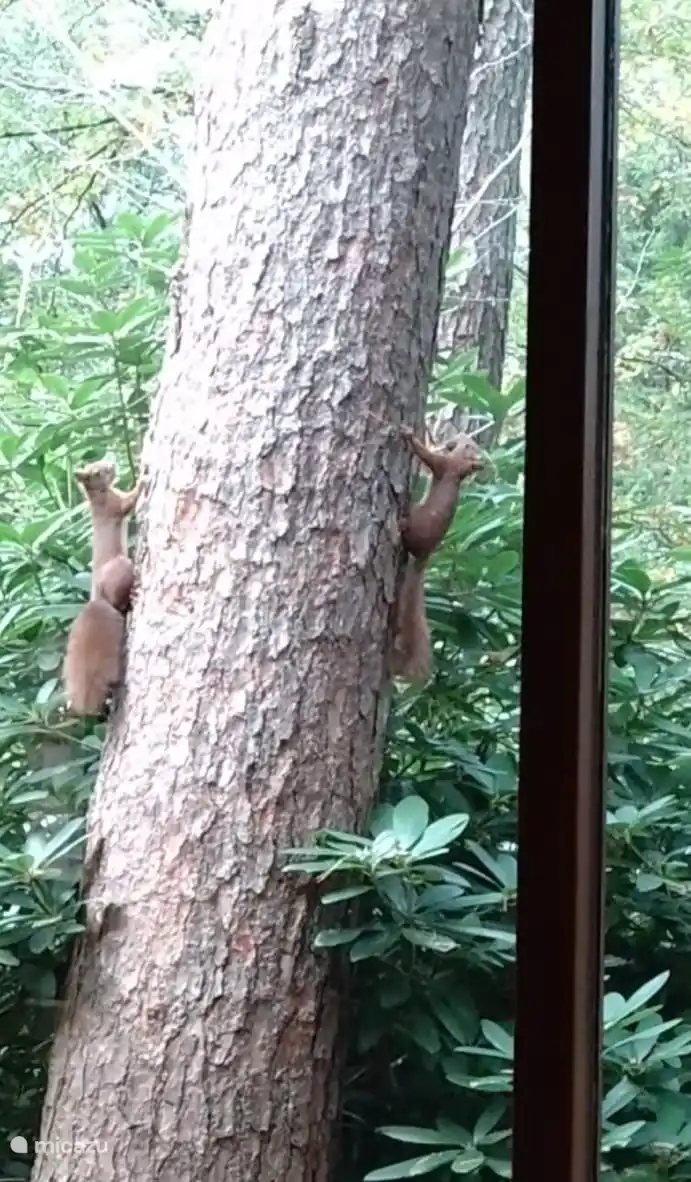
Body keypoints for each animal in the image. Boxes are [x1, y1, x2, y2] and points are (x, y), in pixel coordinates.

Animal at [63, 460, 143, 717]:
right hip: (120, 567)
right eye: (96, 472)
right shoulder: (114, 506)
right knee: (119, 602)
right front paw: (142, 480)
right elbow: (129, 501)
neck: (98, 496)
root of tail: (97, 598)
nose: (112, 463)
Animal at [391, 426, 484, 684]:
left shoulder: (443, 465)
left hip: (416, 527)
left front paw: (409, 436)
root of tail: (425, 555)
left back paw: (401, 524)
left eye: (468, 445)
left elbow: (427, 457)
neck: (459, 470)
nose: (454, 439)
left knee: (407, 536)